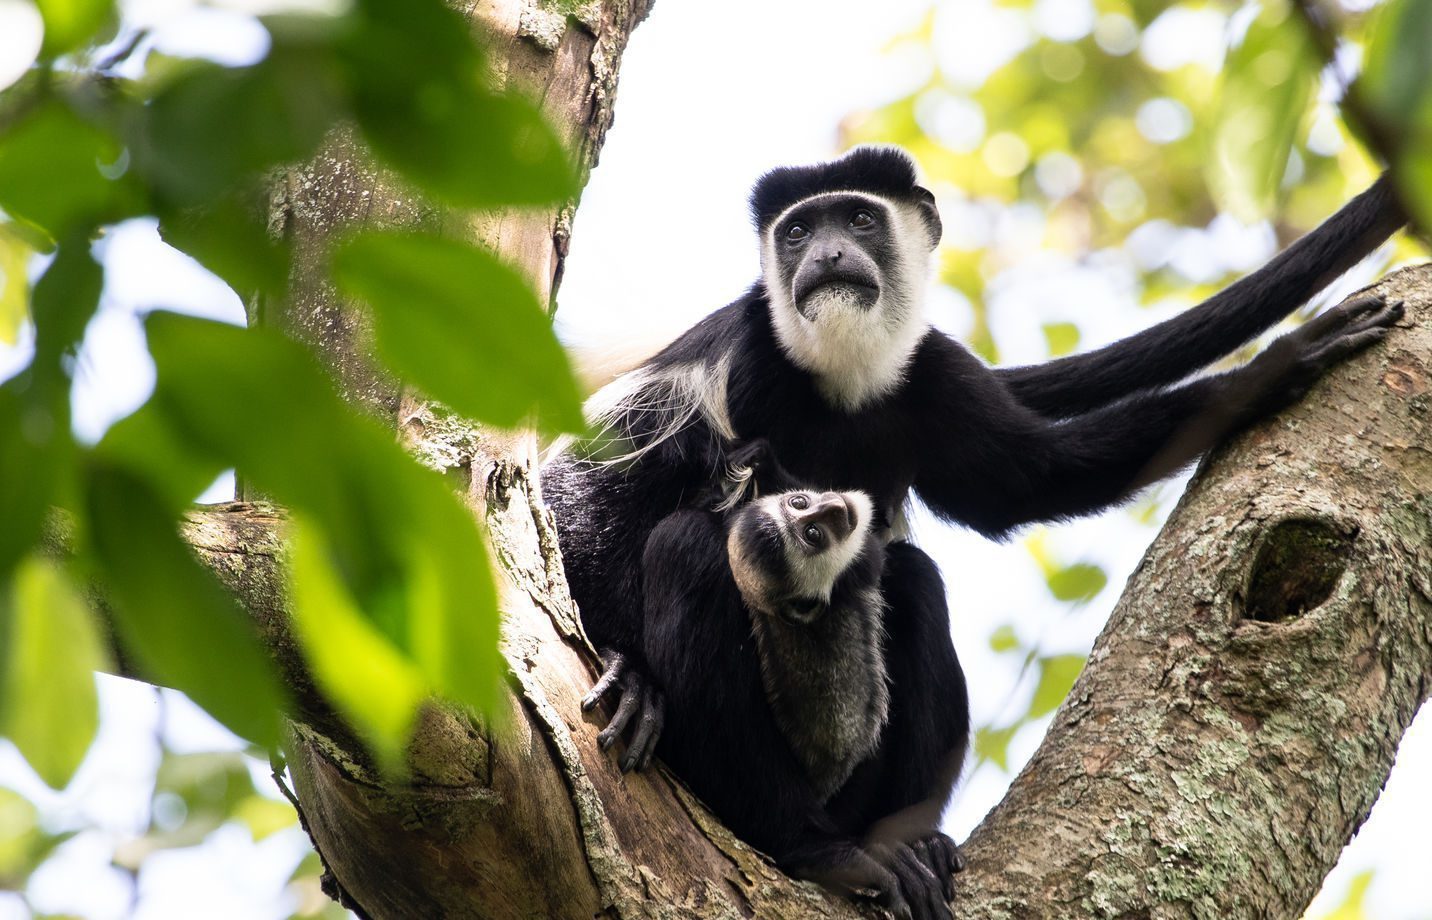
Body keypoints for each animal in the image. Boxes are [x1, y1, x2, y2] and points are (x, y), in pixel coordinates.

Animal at [543, 145, 1405, 774]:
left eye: (858, 218)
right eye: (796, 233)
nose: (827, 254)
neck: (843, 380)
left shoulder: (934, 375)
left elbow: (1026, 481)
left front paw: (1278, 367)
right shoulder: (741, 360)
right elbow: (586, 493)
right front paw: (629, 674)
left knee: (914, 580)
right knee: (675, 537)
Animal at [641, 440, 965, 920]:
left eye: (799, 503)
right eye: (813, 535)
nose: (835, 508)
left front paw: (761, 465)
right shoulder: (853, 572)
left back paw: (922, 848)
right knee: (681, 545)